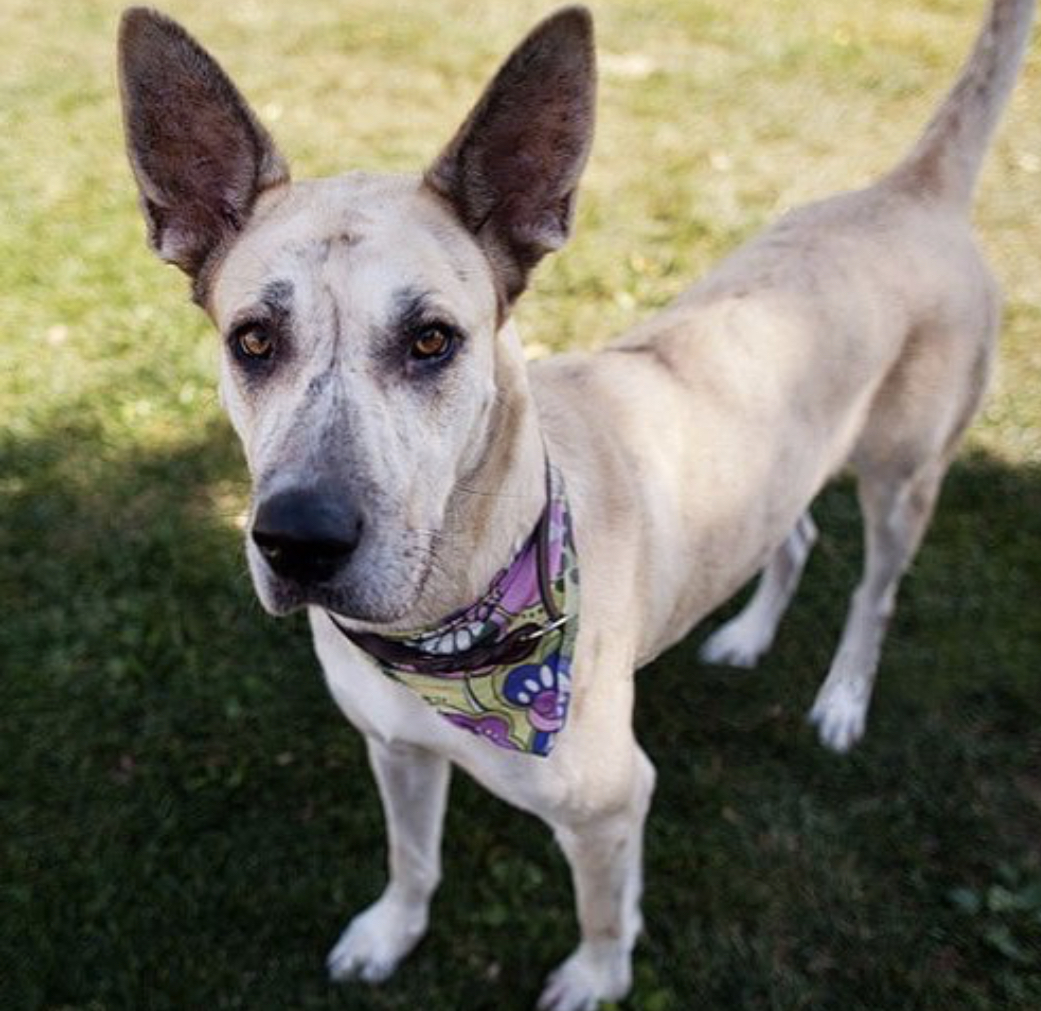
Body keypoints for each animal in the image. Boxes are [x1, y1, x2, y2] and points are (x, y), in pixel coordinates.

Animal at [119, 3, 1032, 1007]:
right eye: (253, 339)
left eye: (431, 339)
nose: (299, 541)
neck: (450, 625)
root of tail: (911, 190)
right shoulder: (395, 748)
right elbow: (411, 858)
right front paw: (390, 932)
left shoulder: (610, 803)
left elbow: (601, 910)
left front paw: (596, 976)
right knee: (791, 534)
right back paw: (748, 634)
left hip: (903, 475)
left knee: (873, 593)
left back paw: (840, 698)